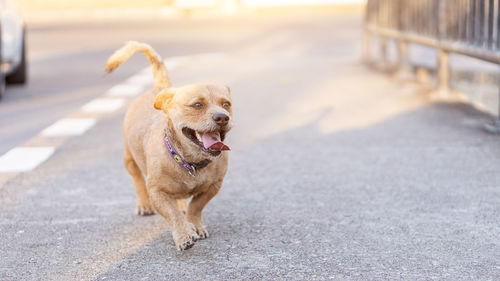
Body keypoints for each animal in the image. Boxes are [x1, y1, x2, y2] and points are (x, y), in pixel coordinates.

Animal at [105, 41, 232, 249]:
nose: (222, 117)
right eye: (197, 105)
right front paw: (184, 235)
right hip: (129, 159)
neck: (191, 161)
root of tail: (160, 88)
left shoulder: (214, 186)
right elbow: (172, 214)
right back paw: (144, 205)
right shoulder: (157, 192)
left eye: (226, 104)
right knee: (137, 180)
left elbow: (196, 206)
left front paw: (194, 224)